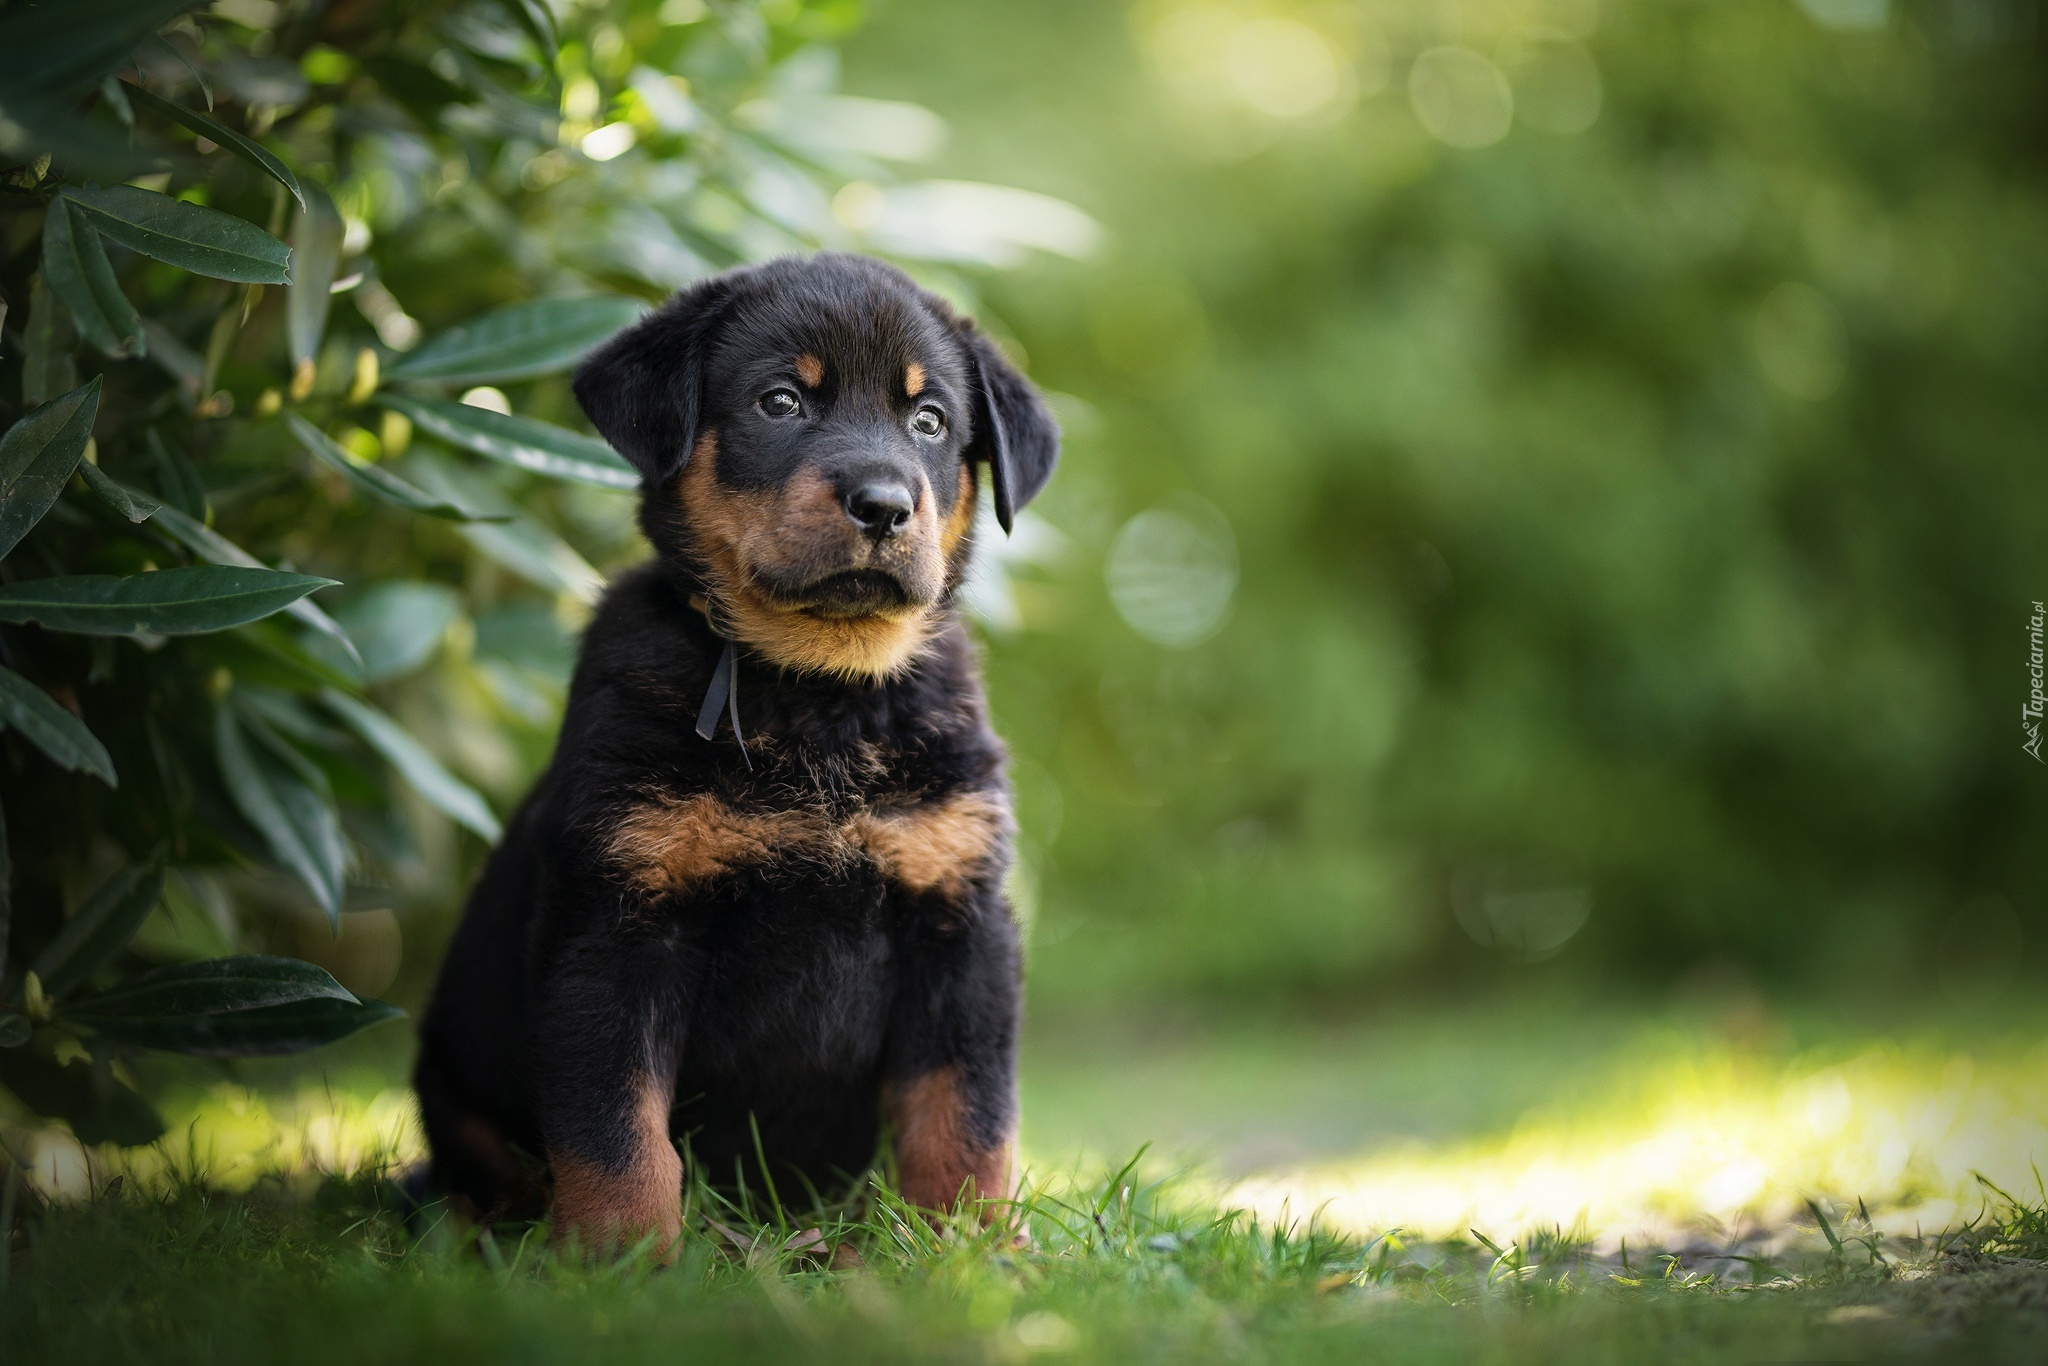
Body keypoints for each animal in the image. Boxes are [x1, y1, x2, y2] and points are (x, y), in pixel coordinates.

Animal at [411, 250, 1056, 1253]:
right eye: (780, 402)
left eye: (930, 420)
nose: (884, 505)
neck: (819, 696)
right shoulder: (619, 921)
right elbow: (614, 1126)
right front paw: (622, 1261)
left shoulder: (959, 919)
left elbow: (966, 1111)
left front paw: (975, 1249)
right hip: (453, 1079)